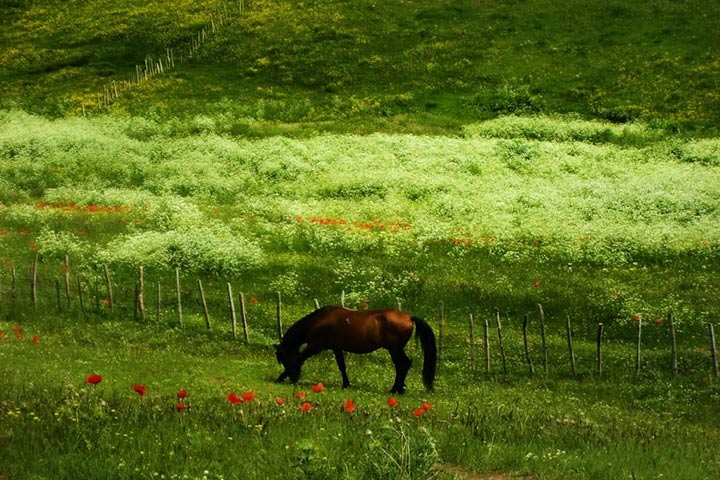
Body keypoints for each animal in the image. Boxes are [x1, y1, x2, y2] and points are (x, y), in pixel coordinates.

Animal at [274, 306, 436, 392]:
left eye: (284, 359)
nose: (294, 378)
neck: (318, 321)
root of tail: (409, 317)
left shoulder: (315, 346)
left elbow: (300, 358)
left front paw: (280, 378)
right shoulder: (336, 348)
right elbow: (342, 366)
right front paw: (346, 384)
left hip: (394, 349)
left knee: (403, 365)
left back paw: (395, 389)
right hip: (394, 349)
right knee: (403, 365)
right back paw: (399, 388)